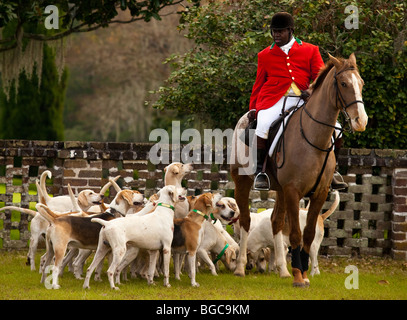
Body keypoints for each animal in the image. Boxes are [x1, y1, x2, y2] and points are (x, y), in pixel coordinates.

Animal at [231, 53, 368, 286]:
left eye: (361, 83)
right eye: (343, 83)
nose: (361, 120)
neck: (313, 138)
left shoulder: (319, 193)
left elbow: (309, 234)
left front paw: (301, 273)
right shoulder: (294, 191)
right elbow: (296, 233)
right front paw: (298, 277)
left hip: (280, 190)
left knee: (276, 222)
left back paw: (282, 269)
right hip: (243, 182)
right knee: (245, 221)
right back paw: (240, 267)